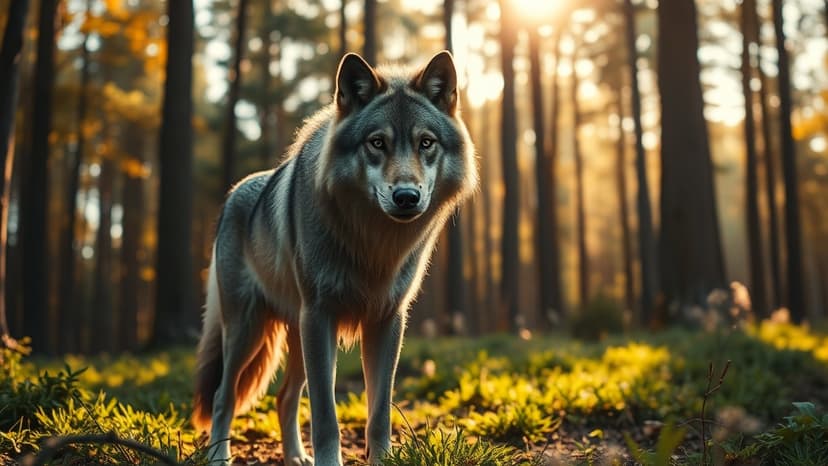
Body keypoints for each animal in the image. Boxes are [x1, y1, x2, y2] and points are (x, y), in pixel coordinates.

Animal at [191, 51, 478, 465]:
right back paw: (219, 456)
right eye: (377, 142)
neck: (373, 245)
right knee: (221, 396)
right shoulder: (320, 316)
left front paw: (381, 459)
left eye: (426, 142)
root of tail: (232, 195)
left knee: (284, 397)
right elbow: (326, 416)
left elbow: (379, 413)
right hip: (248, 331)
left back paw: (296, 457)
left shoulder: (388, 321)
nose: (407, 197)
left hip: (295, 336)